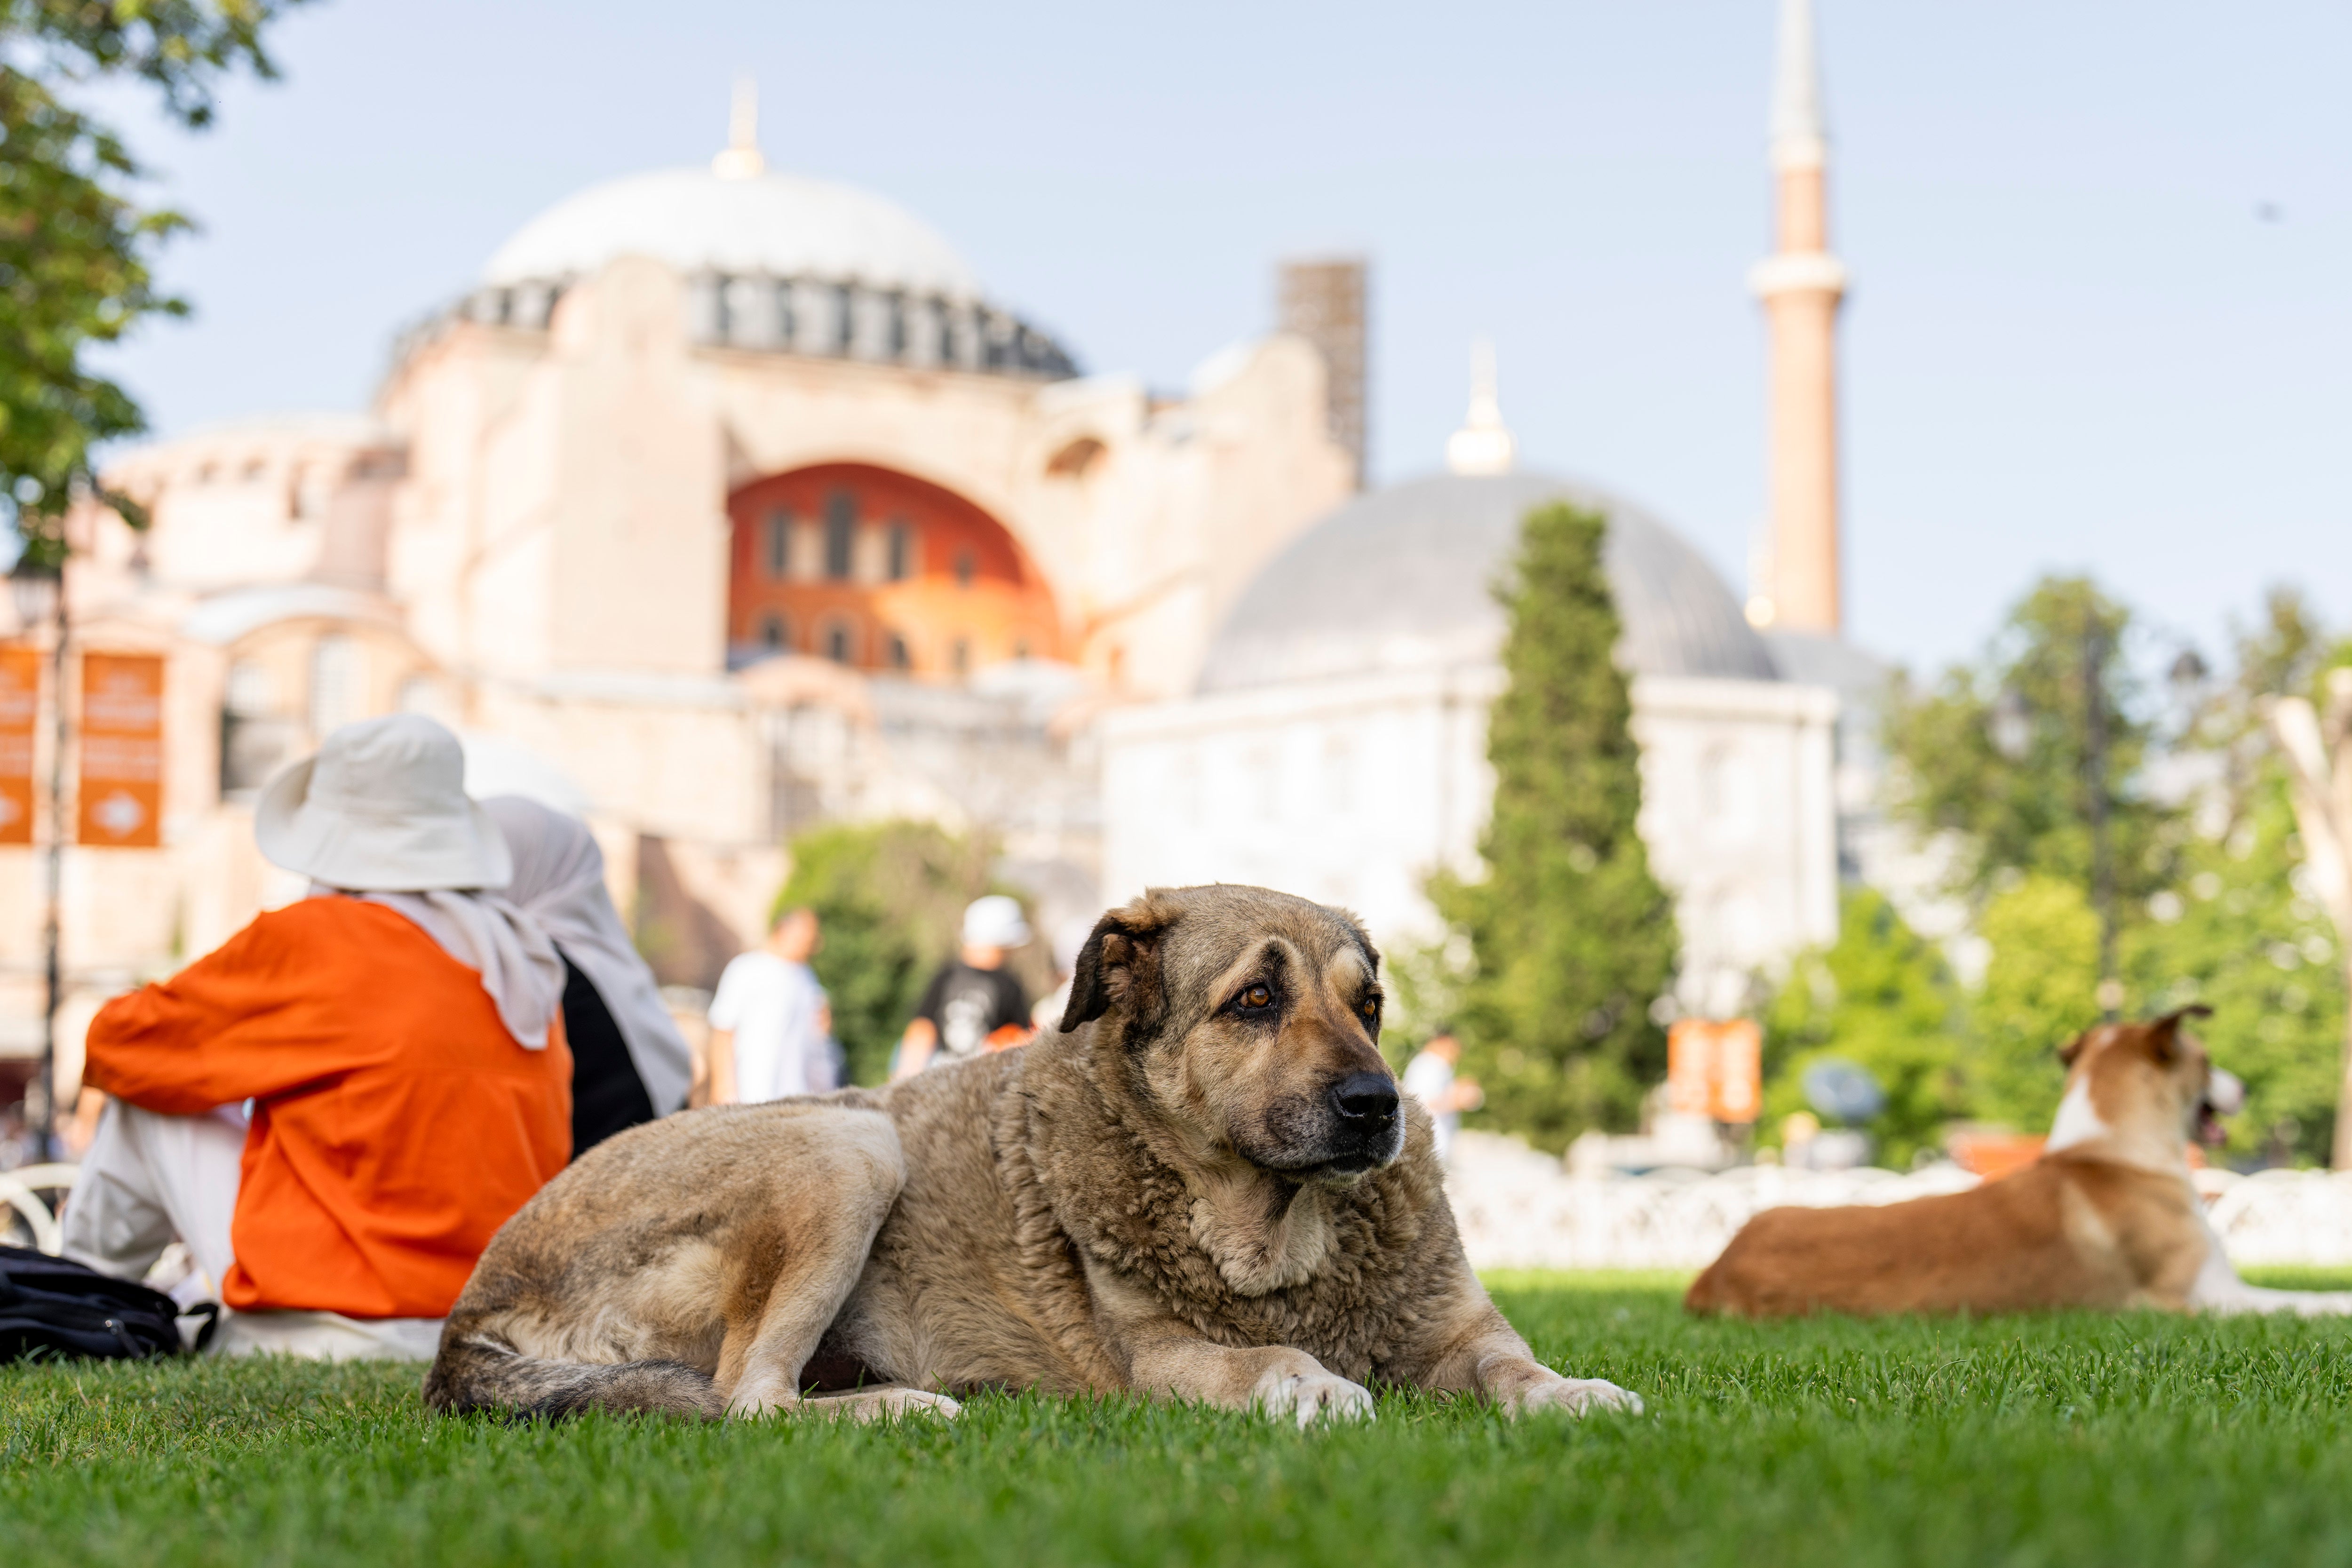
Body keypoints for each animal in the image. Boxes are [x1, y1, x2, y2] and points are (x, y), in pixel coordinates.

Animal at [423, 888, 1637, 1429]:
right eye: (1255, 999)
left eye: (1368, 1005)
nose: (1377, 1104)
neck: (1277, 1236)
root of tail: (466, 1318)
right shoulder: (1161, 1359)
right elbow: (1265, 1361)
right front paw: (1306, 1381)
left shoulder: (1459, 1331)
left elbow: (1515, 1367)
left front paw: (1573, 1390)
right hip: (846, 1139)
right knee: (746, 1401)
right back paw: (896, 1410)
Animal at [1684, 1011, 2352, 1316]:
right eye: (2208, 1062)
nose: (2243, 1089)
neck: (2112, 1149)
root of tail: (1712, 1271)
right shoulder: (2202, 1298)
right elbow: (2311, 1301)